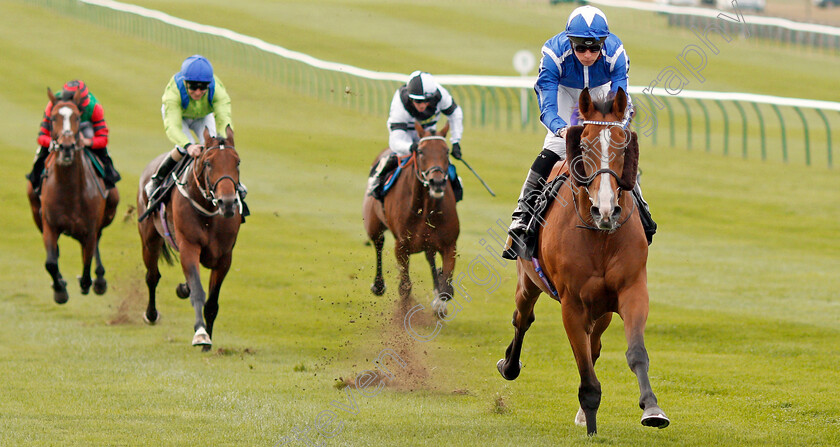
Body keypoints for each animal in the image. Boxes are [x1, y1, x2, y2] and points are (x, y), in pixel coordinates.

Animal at [26, 87, 119, 304]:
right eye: (53, 118)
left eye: (76, 116)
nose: (67, 147)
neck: (69, 190)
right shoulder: (50, 224)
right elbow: (51, 262)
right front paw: (60, 289)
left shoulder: (90, 227)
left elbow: (87, 262)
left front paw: (89, 282)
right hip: (35, 208)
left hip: (110, 206)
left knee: (96, 243)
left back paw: (99, 279)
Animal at [137, 126, 243, 350]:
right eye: (208, 163)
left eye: (237, 162)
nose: (228, 203)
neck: (208, 210)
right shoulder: (189, 246)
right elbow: (197, 292)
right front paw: (201, 334)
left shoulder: (224, 257)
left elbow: (212, 303)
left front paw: (208, 341)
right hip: (149, 239)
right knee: (152, 276)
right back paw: (151, 314)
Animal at [362, 122, 460, 316]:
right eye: (421, 151)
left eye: (446, 151)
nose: (437, 182)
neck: (425, 210)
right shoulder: (401, 246)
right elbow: (405, 287)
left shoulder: (449, 245)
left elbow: (446, 288)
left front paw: (439, 302)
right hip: (373, 224)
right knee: (378, 243)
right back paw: (378, 285)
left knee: (430, 258)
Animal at [498, 88, 668, 438]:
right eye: (586, 144)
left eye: (623, 143)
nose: (606, 209)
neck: (600, 236)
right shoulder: (572, 304)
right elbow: (585, 370)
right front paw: (590, 422)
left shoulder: (631, 290)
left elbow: (635, 353)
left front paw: (652, 408)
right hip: (528, 281)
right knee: (522, 319)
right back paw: (509, 365)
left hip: (601, 309)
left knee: (595, 343)